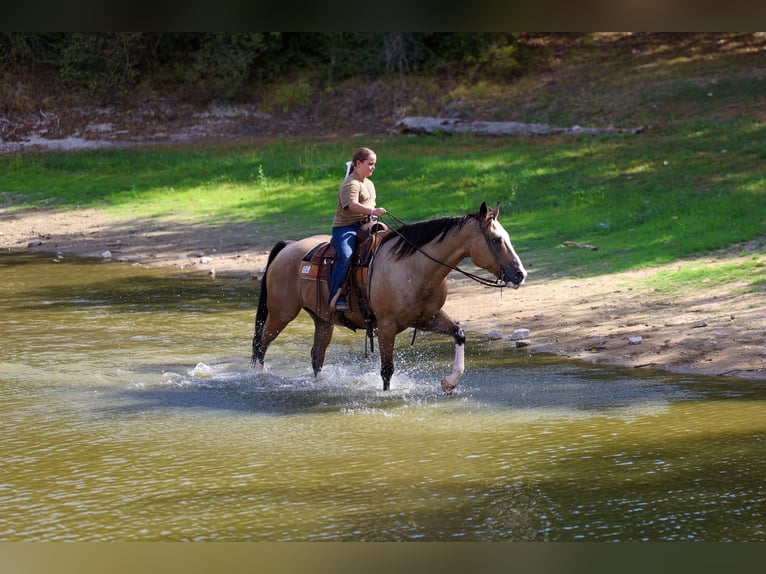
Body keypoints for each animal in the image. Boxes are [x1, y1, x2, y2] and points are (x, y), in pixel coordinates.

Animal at [251, 201, 527, 392]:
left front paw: (449, 382)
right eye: (496, 240)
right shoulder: (386, 326)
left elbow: (459, 333)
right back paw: (257, 378)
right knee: (261, 344)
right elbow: (387, 370)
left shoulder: (426, 318)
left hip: (322, 319)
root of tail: (288, 246)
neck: (414, 267)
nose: (520, 274)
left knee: (316, 355)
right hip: (281, 313)